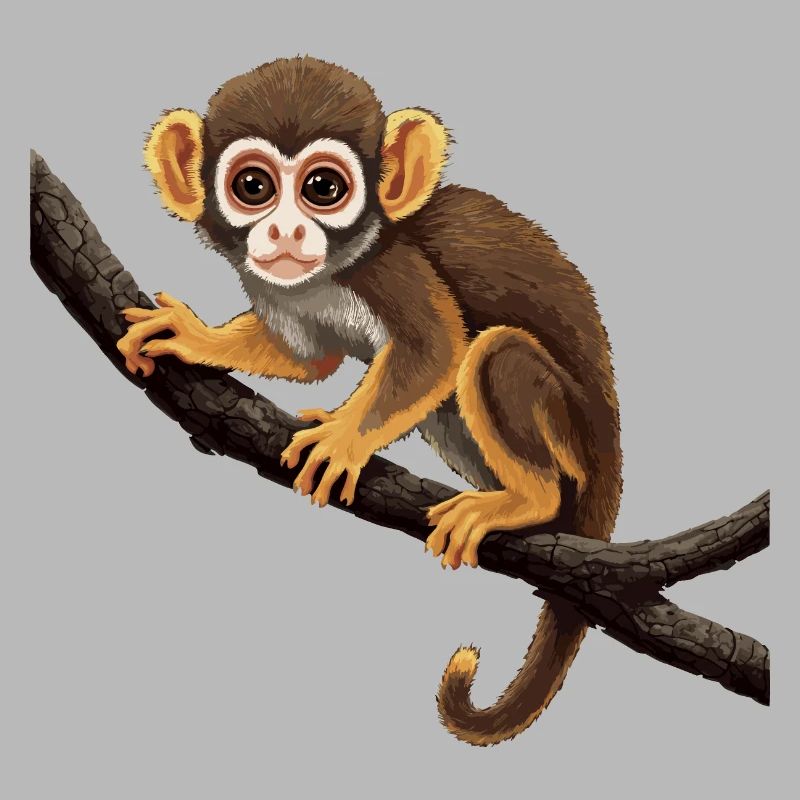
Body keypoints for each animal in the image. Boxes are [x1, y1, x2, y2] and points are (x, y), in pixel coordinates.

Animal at [118, 56, 622, 746]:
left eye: (323, 188)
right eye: (253, 185)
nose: (284, 229)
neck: (336, 267)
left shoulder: (395, 267)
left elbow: (437, 348)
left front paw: (341, 439)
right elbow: (309, 358)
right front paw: (195, 339)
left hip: (572, 436)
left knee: (494, 353)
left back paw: (529, 500)